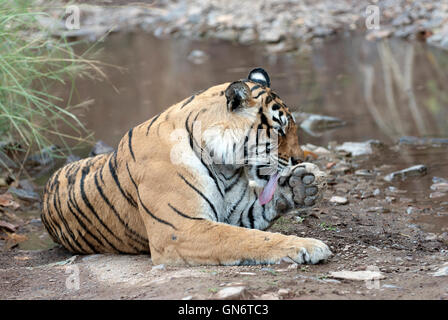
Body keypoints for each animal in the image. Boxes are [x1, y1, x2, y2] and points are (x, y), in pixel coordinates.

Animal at [41, 67, 332, 264]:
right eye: (280, 130)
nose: (298, 158)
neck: (225, 166)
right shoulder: (181, 229)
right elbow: (250, 239)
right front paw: (310, 246)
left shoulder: (237, 212)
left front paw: (303, 184)